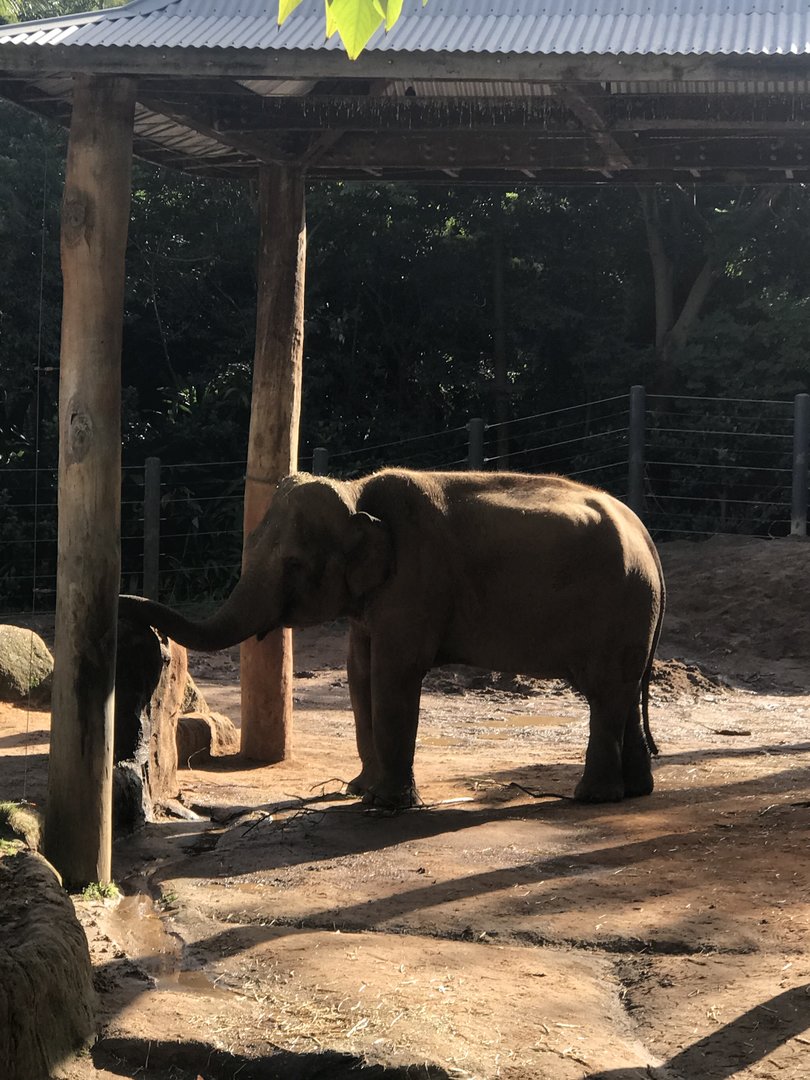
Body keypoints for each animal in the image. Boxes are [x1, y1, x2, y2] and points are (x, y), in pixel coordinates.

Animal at [119, 468, 665, 810]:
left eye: (294, 564)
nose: (123, 604)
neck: (357, 491)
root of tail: (647, 535)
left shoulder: (415, 582)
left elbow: (393, 675)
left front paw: (386, 804)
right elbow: (360, 674)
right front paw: (360, 790)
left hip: (619, 610)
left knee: (605, 693)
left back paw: (593, 796)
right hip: (633, 618)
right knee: (622, 693)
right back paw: (635, 791)